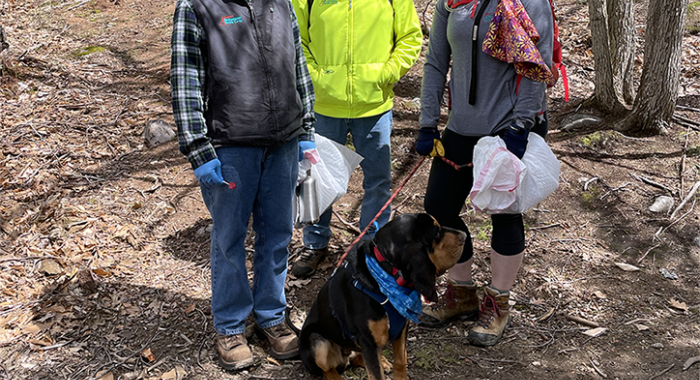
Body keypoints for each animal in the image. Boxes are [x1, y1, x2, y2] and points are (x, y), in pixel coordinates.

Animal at [294, 212, 464, 378]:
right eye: (436, 233)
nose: (464, 235)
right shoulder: (368, 342)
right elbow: (376, 375)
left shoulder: (401, 329)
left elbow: (401, 361)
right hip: (316, 341)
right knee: (328, 370)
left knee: (358, 358)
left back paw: (383, 362)